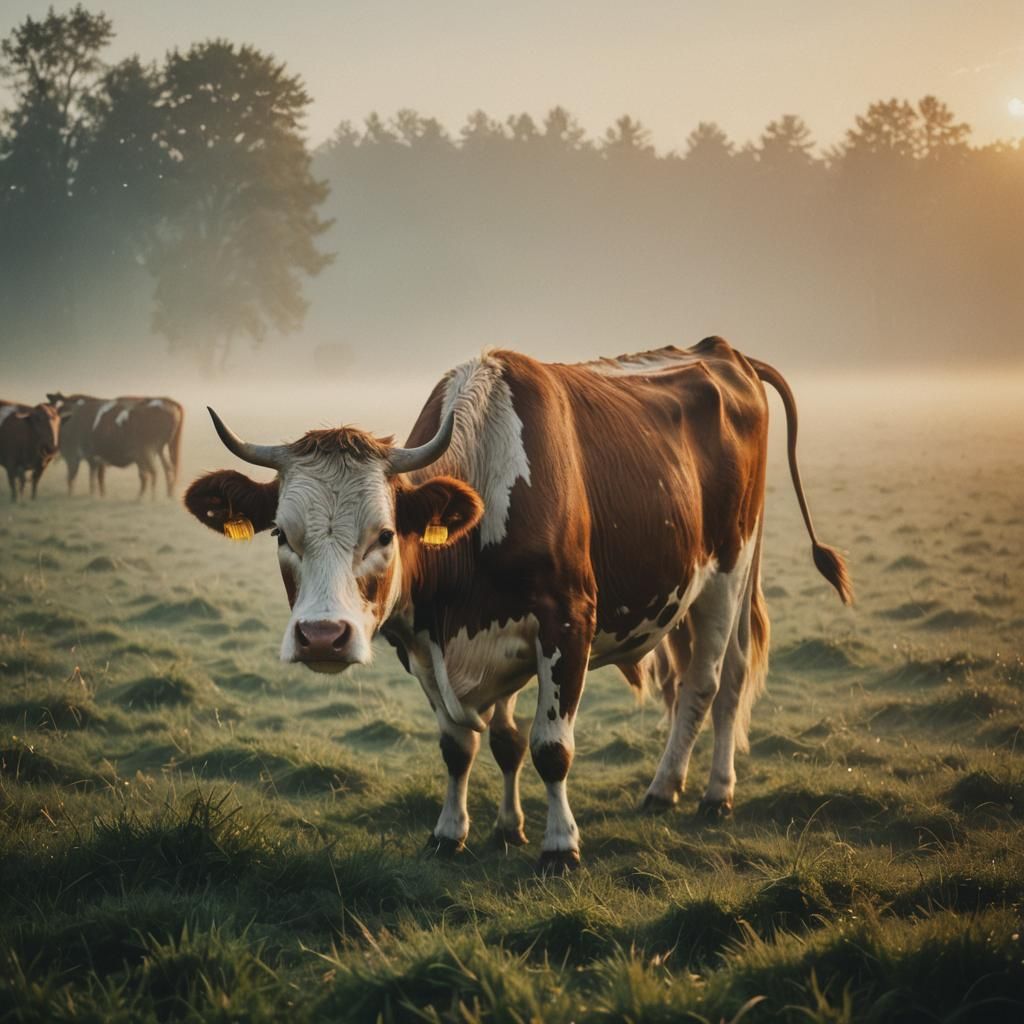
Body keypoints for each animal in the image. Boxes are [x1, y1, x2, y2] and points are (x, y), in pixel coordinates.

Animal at [46, 393, 184, 499]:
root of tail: (166, 400)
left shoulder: (73, 455)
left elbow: (73, 478)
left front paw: (73, 496)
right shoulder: (95, 458)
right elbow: (97, 479)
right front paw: (98, 496)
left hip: (145, 452)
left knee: (150, 473)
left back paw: (146, 498)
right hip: (159, 450)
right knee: (167, 469)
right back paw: (167, 496)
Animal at [184, 338, 852, 871]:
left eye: (384, 535)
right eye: (281, 535)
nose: (323, 636)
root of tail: (721, 350)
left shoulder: (568, 624)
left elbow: (550, 747)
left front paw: (560, 845)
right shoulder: (430, 643)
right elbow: (473, 744)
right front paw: (468, 831)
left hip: (728, 571)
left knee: (712, 682)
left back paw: (697, 791)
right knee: (710, 675)